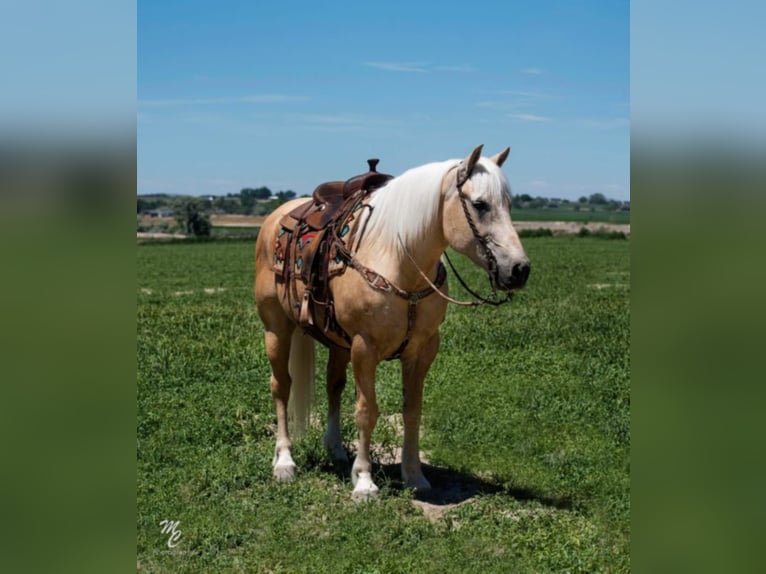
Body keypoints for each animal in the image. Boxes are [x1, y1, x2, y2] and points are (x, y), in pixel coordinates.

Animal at [255, 146, 532, 502]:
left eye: (509, 205)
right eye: (480, 204)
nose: (519, 269)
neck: (397, 260)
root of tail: (278, 216)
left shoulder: (422, 349)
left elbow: (412, 409)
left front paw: (413, 475)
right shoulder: (364, 347)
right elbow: (366, 411)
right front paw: (363, 480)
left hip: (337, 342)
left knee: (333, 385)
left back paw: (335, 449)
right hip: (276, 329)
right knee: (281, 386)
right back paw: (284, 462)